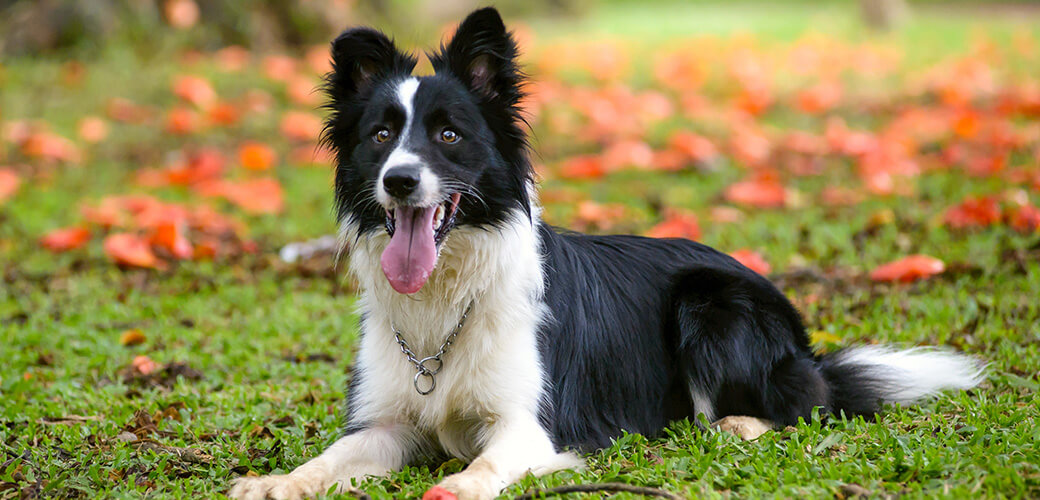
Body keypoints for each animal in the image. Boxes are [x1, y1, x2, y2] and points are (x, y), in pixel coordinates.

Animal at [231, 7, 985, 498]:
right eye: (382, 136)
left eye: (448, 135)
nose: (400, 181)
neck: (449, 295)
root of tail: (803, 340)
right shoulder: (387, 422)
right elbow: (328, 459)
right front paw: (274, 481)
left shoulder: (531, 426)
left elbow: (482, 467)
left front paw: (456, 487)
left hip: (711, 304)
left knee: (797, 406)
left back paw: (732, 423)